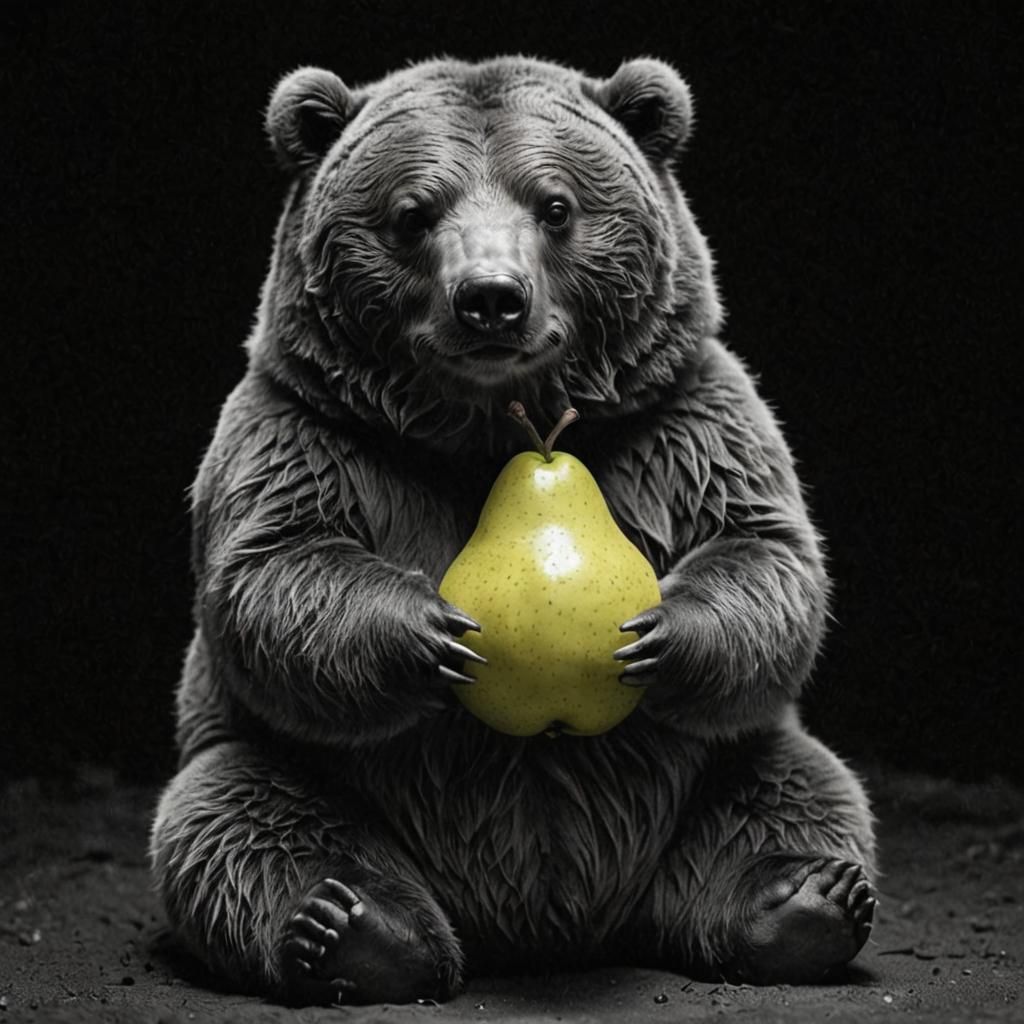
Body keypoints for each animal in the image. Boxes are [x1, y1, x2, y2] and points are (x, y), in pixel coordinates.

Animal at [150, 55, 877, 1006]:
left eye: (556, 205)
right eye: (413, 212)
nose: (491, 298)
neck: (492, 438)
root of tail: (545, 935)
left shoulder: (682, 425)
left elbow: (763, 550)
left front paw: (661, 631)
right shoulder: (308, 436)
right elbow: (274, 570)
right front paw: (431, 631)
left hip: (721, 774)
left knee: (794, 788)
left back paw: (804, 899)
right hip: (280, 766)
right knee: (232, 815)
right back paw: (348, 927)